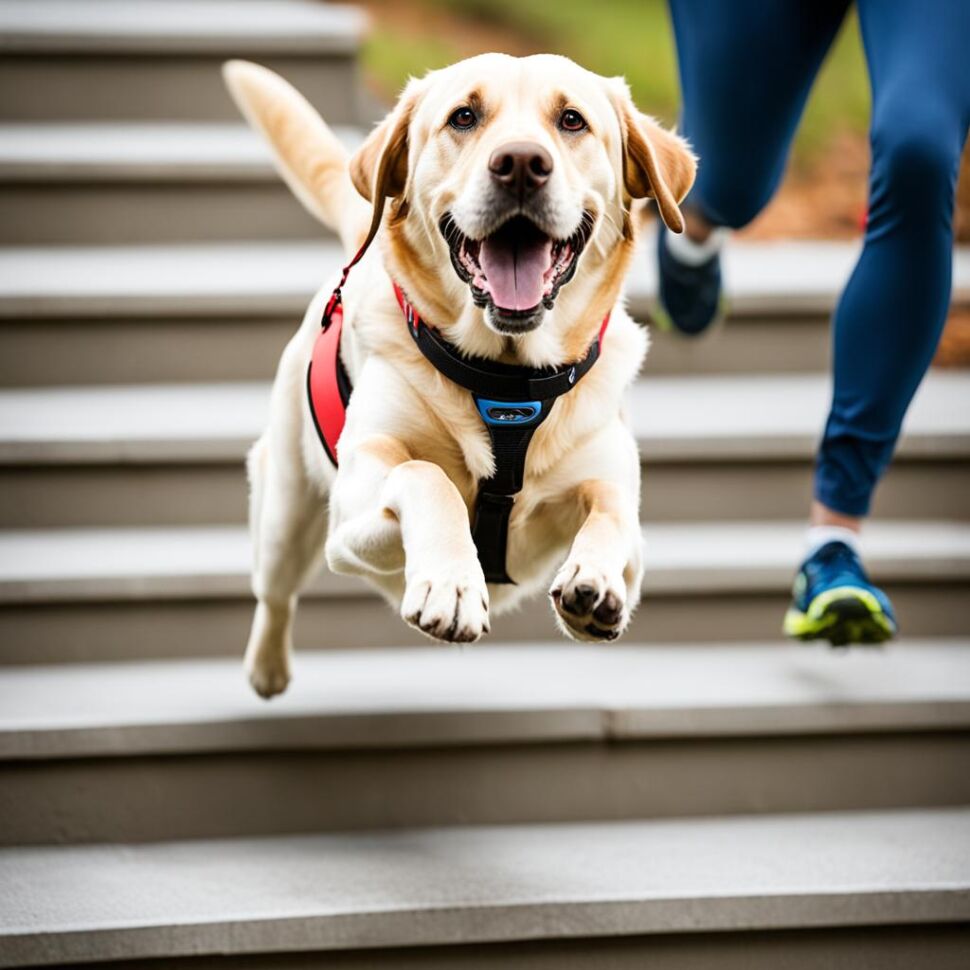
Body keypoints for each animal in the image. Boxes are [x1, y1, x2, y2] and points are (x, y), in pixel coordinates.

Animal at [225, 53, 696, 696]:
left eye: (572, 120)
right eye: (464, 117)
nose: (521, 164)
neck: (507, 380)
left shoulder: (616, 501)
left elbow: (613, 507)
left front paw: (596, 578)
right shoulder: (352, 514)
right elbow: (426, 475)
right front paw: (450, 584)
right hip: (286, 512)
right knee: (274, 594)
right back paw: (267, 667)